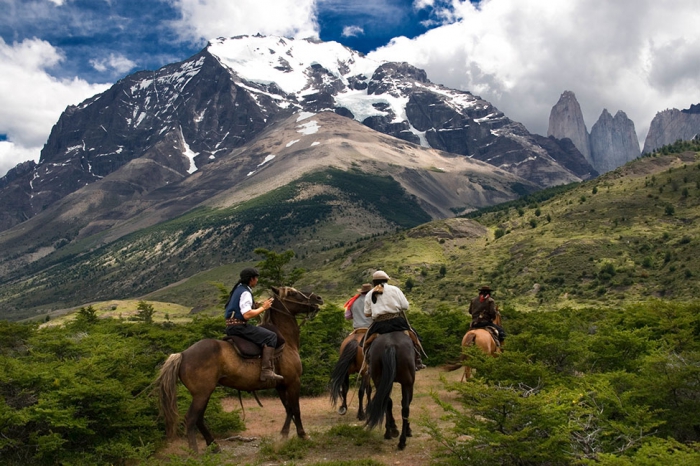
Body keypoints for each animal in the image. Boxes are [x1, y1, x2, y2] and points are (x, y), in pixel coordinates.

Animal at [154, 286, 324, 454]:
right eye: (293, 293)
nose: (318, 299)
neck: (286, 342)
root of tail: (182, 354)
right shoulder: (294, 381)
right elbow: (296, 408)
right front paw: (303, 435)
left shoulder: (281, 385)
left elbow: (288, 409)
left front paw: (283, 436)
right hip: (201, 394)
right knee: (190, 418)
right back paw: (194, 453)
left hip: (204, 393)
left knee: (199, 418)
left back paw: (214, 445)